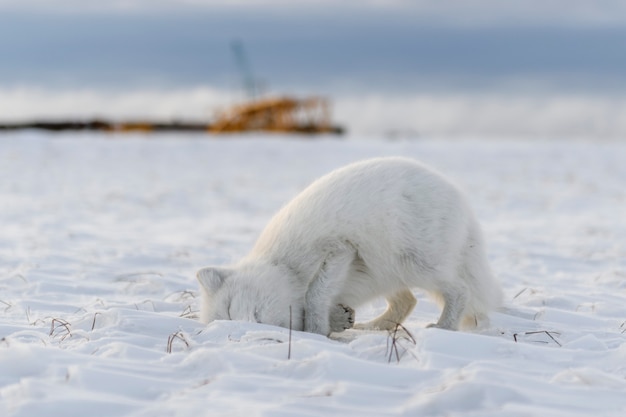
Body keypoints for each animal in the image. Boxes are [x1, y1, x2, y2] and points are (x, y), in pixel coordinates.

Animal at [199, 156, 502, 334]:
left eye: (229, 308)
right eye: (225, 318)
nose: (245, 329)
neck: (283, 268)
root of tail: (459, 197)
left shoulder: (341, 249)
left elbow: (315, 295)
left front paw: (317, 331)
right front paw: (333, 324)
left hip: (413, 262)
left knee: (459, 290)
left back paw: (443, 326)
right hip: (388, 272)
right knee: (408, 301)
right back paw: (373, 328)